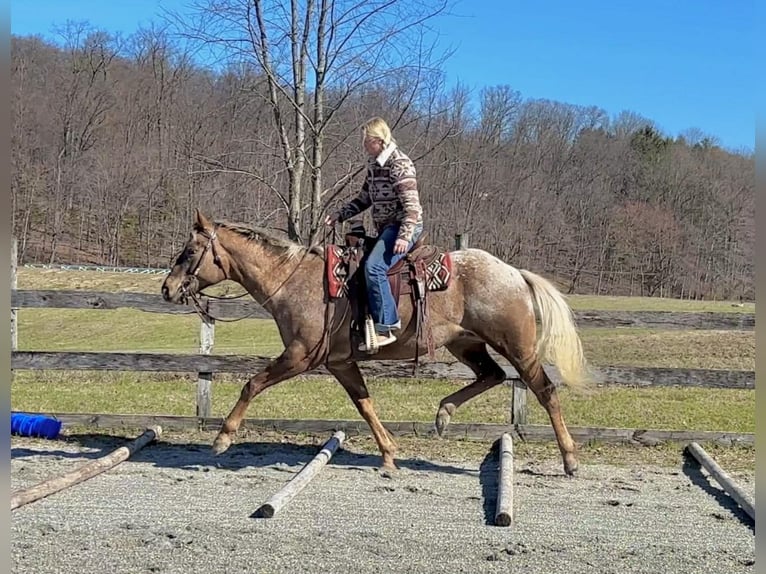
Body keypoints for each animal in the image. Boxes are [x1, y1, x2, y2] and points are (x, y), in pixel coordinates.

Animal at [161, 209, 594, 475]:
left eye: (189, 251)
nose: (167, 288)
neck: (294, 280)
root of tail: (515, 273)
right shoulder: (340, 362)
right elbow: (365, 404)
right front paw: (388, 453)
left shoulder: (300, 355)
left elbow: (252, 384)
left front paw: (222, 438)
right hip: (465, 343)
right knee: (492, 376)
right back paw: (443, 413)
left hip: (517, 348)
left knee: (544, 390)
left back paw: (570, 459)